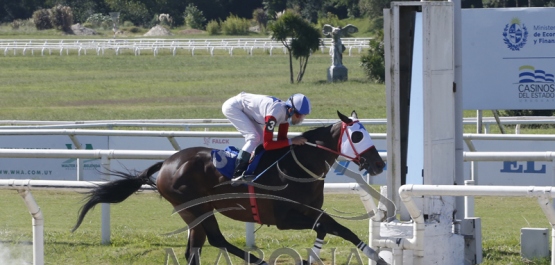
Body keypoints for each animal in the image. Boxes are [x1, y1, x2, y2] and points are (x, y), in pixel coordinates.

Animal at [73, 110, 386, 264]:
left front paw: (373, 255)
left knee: (197, 249)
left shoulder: (307, 212)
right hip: (193, 207)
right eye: (358, 135)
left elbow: (335, 228)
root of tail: (167, 162)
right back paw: (259, 262)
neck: (296, 166)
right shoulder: (285, 218)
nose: (379, 164)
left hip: (197, 211)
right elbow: (331, 226)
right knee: (215, 241)